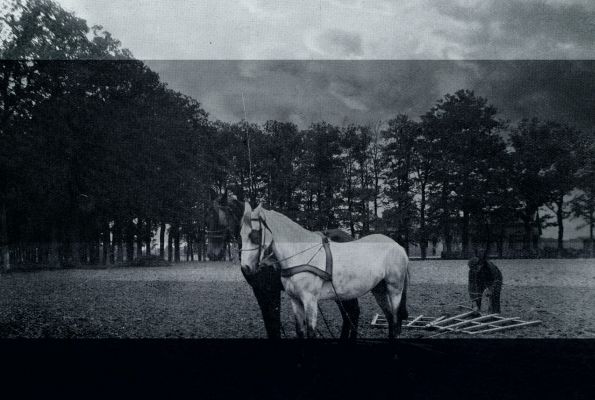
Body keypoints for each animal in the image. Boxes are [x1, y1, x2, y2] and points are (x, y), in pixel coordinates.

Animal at [207, 195, 360, 340]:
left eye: (219, 217)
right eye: (208, 218)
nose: (212, 253)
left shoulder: (271, 291)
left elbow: (273, 322)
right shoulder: (260, 291)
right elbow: (269, 323)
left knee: (352, 313)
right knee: (350, 314)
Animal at [239, 203, 410, 338]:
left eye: (254, 235)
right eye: (240, 234)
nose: (245, 268)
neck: (301, 252)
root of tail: (398, 246)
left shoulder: (310, 300)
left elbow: (311, 332)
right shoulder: (295, 300)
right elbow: (300, 331)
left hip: (394, 289)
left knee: (395, 321)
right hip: (379, 290)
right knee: (390, 319)